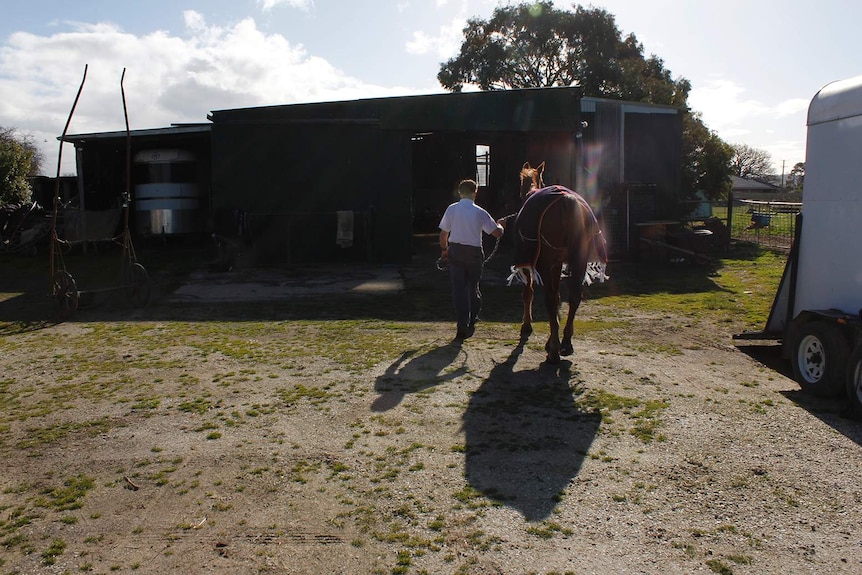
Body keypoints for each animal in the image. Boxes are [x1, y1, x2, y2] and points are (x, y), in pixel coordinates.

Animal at [512, 161, 608, 364]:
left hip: (546, 263)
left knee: (549, 299)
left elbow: (529, 293)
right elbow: (557, 298)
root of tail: (567, 201)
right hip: (579, 259)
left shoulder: (535, 265)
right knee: (574, 297)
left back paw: (554, 352)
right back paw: (566, 342)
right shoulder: (556, 265)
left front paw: (528, 326)